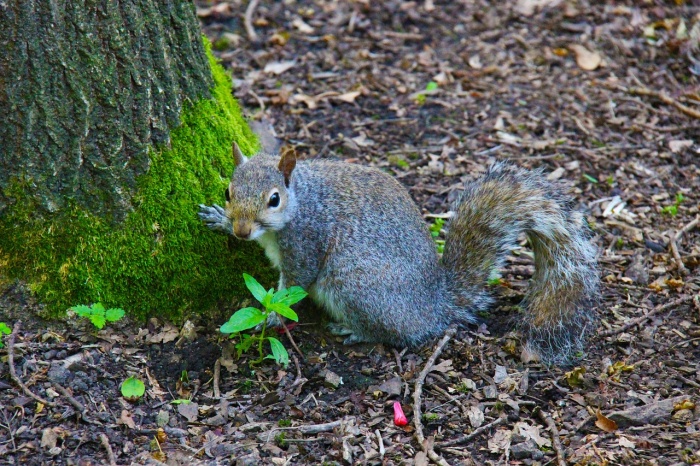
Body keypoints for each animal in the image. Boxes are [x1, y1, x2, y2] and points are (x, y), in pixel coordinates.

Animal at [200, 140, 600, 366]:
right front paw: (218, 219)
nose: (241, 231)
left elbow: (294, 287)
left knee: (395, 333)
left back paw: (356, 331)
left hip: (356, 286)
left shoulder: (307, 241)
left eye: (273, 199)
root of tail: (434, 304)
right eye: (228, 192)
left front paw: (266, 319)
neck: (301, 199)